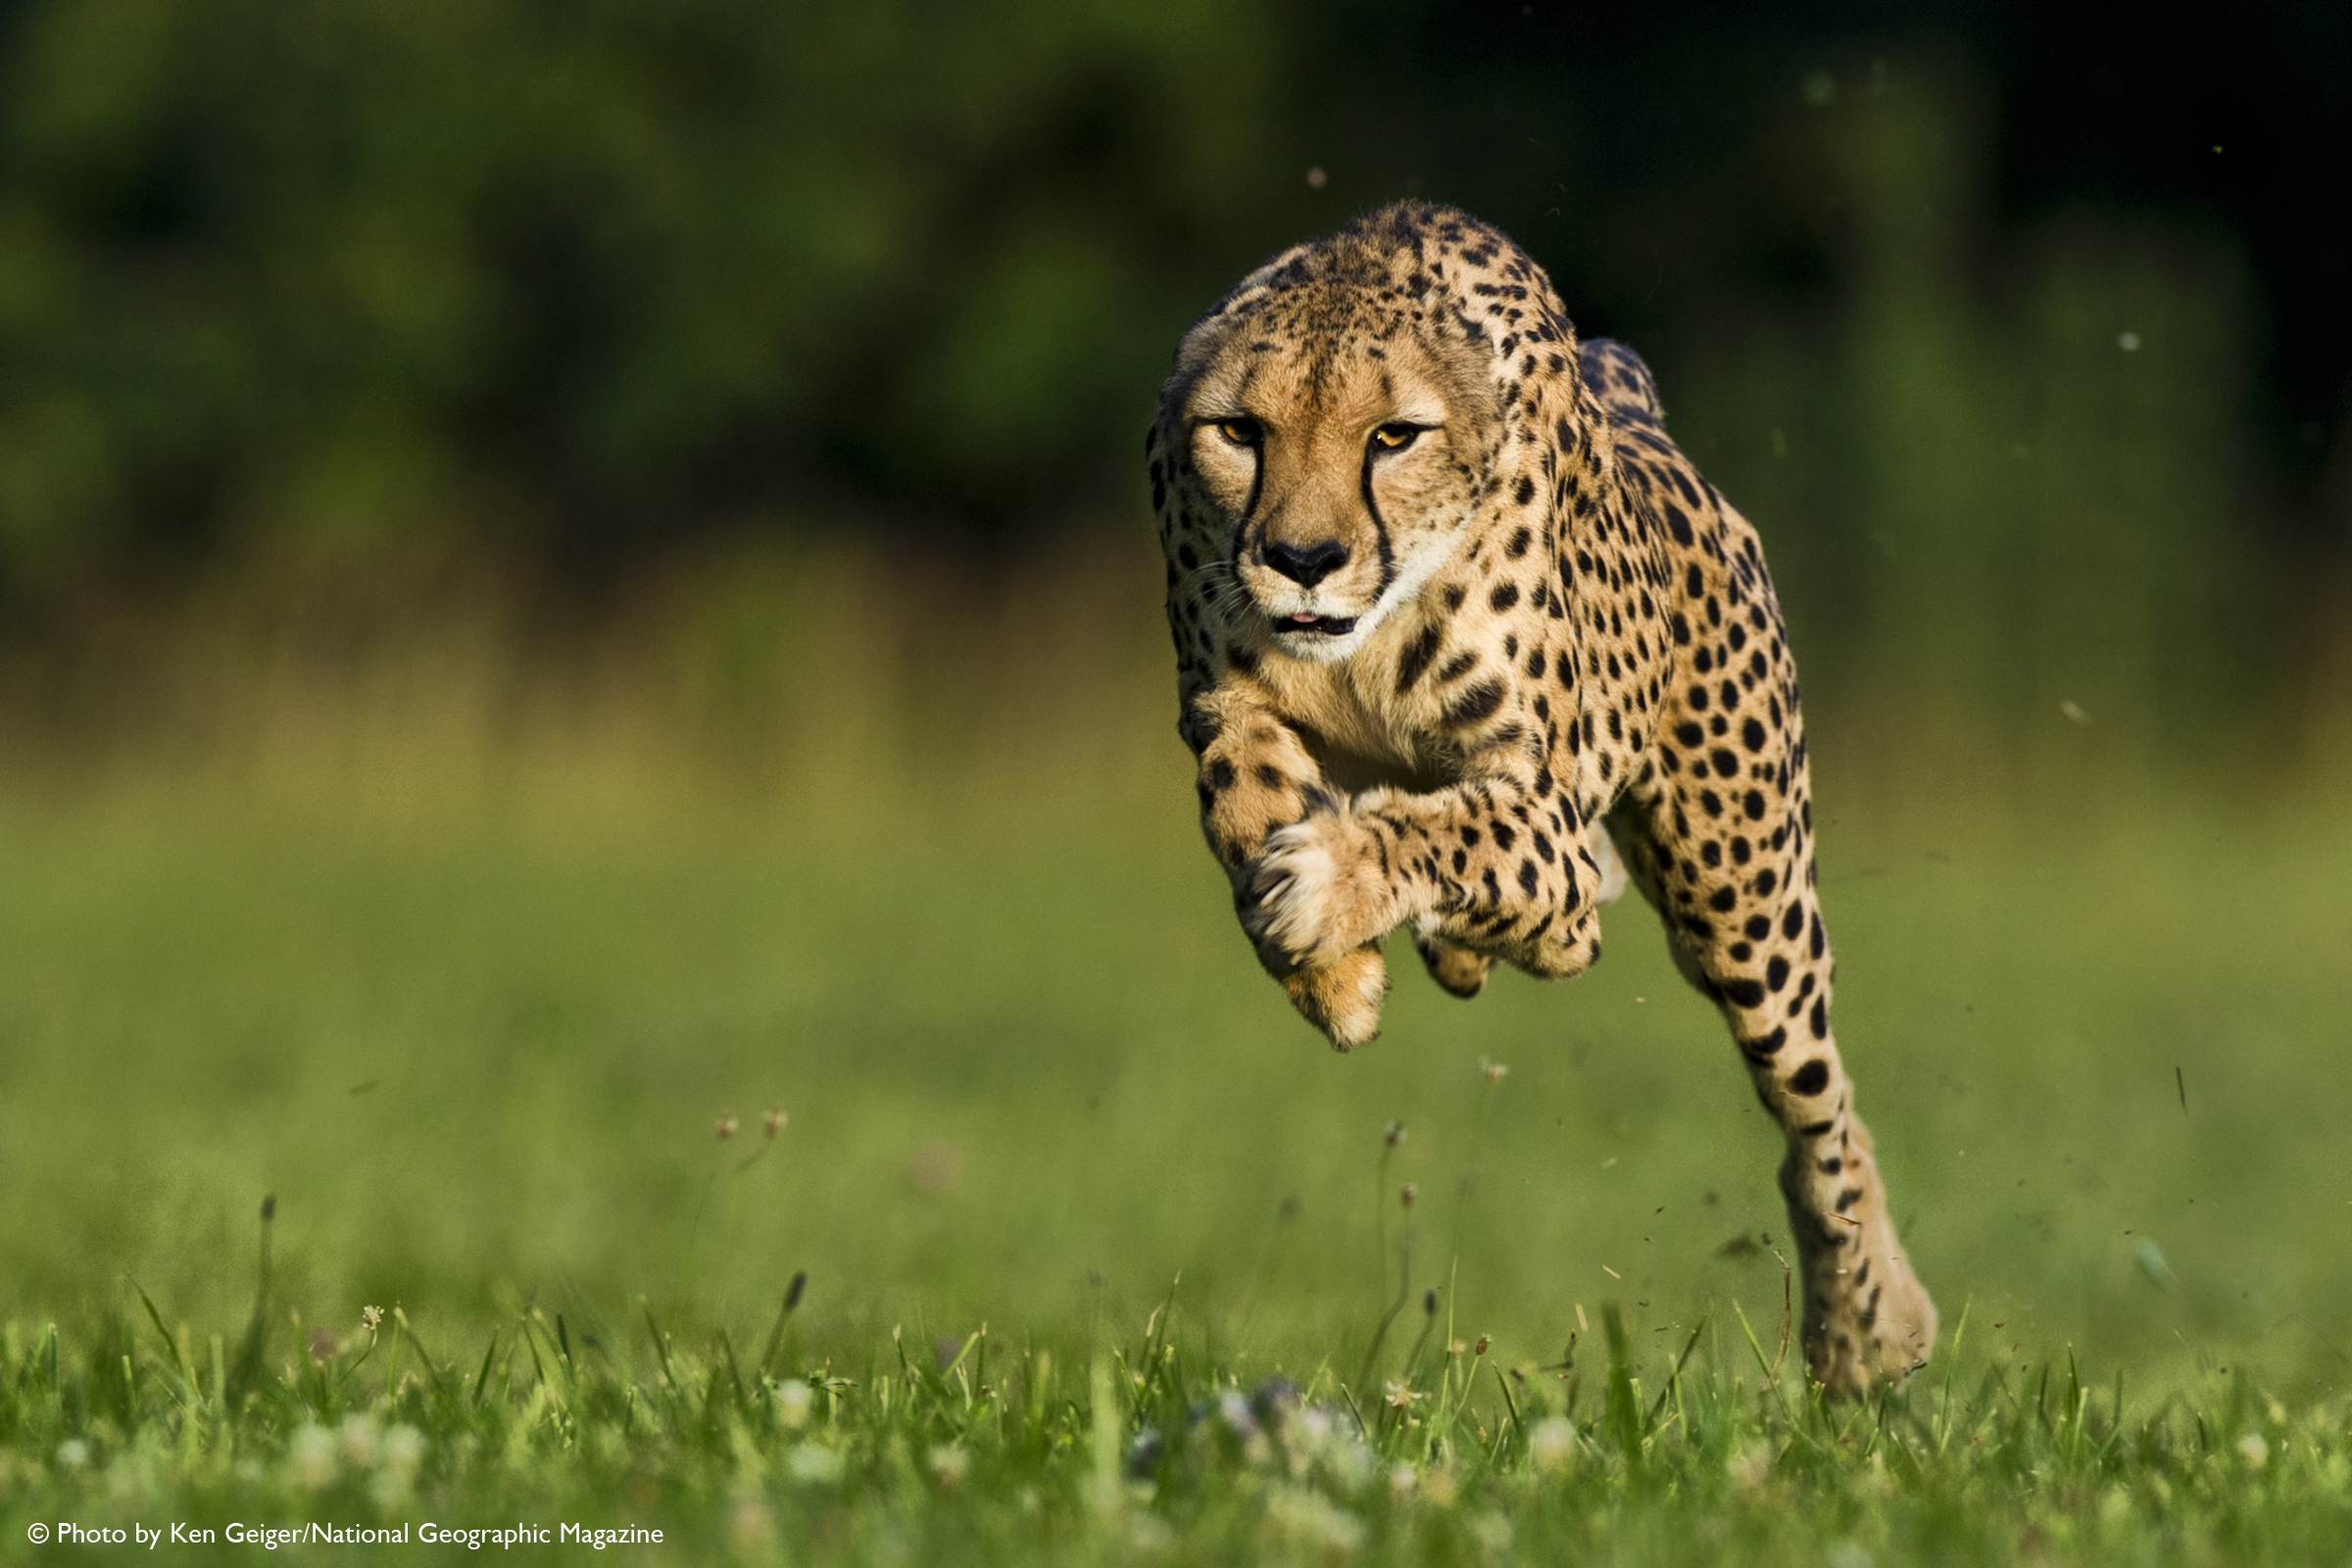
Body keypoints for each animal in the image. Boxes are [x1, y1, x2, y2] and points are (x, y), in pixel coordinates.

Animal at [1144, 201, 1936, 1397]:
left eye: (1393, 436)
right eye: (1240, 431)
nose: (1303, 557)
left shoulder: (1541, 807)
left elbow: (1459, 830)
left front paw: (1328, 888)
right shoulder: (1223, 699)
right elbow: (1242, 797)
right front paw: (1333, 976)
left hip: (1742, 902)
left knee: (1819, 1109)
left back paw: (1867, 1328)